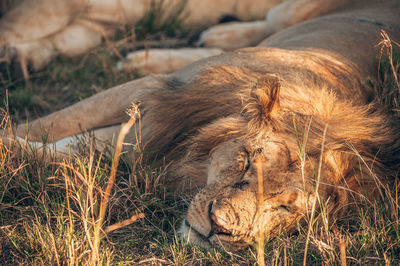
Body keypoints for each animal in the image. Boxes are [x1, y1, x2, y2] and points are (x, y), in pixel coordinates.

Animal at [6, 0, 400, 250]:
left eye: (285, 208)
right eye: (247, 161)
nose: (218, 229)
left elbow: (72, 152)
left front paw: (15, 150)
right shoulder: (150, 95)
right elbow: (50, 124)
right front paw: (10, 140)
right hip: (287, 12)